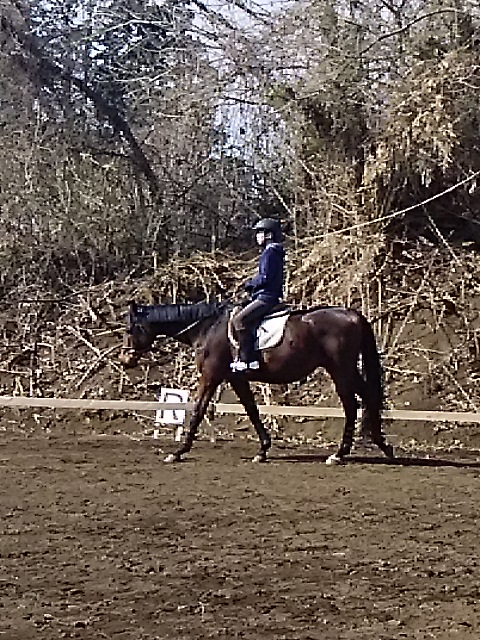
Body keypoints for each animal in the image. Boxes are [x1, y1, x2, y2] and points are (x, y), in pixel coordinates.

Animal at [119, 300, 394, 465]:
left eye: (130, 329)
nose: (124, 360)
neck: (208, 328)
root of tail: (353, 314)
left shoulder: (210, 376)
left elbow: (197, 410)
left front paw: (178, 452)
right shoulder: (236, 378)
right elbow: (251, 410)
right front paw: (263, 450)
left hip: (340, 369)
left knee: (353, 405)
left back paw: (339, 454)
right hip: (344, 369)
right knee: (368, 397)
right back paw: (383, 446)